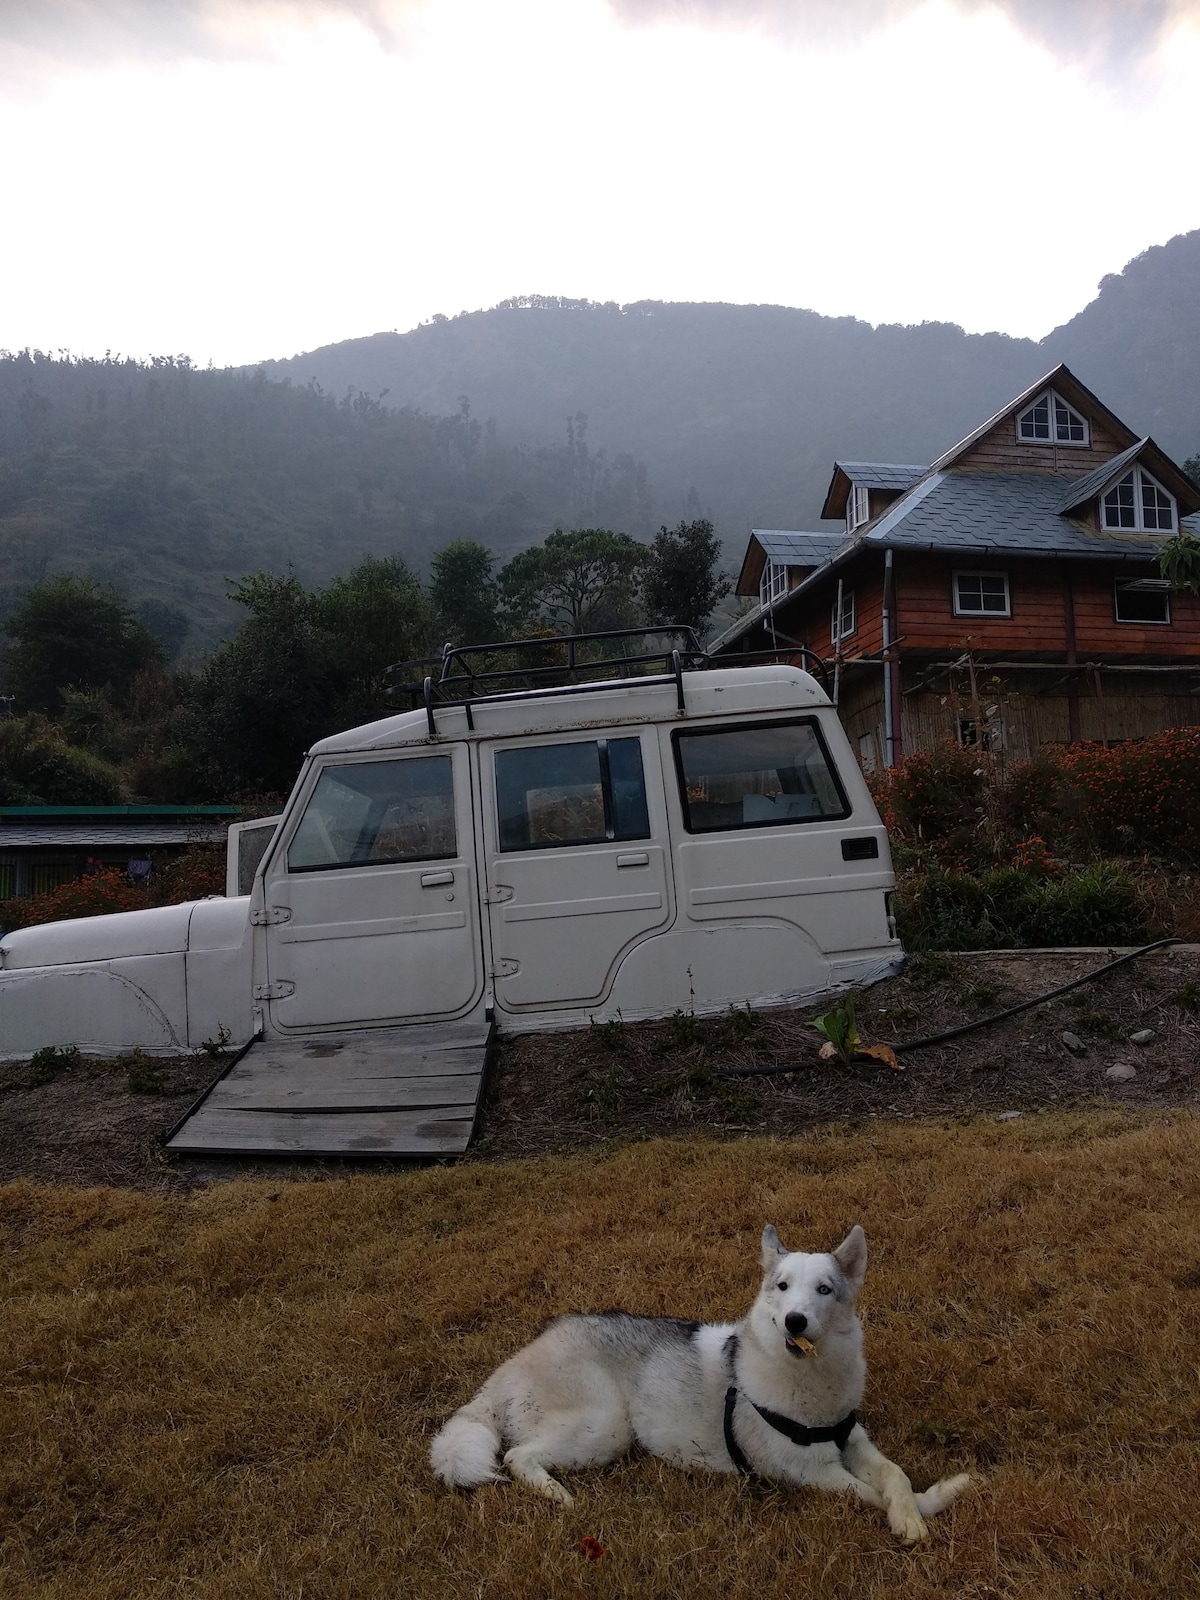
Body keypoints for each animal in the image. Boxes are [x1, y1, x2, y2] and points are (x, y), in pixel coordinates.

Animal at [428, 1216, 972, 1542]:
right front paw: (921, 1510)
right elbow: (871, 1493)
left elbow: (895, 1475)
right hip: (606, 1427)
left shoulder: (853, 1439)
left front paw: (915, 1509)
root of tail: (519, 1357)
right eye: (782, 1287)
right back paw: (557, 1495)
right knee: (517, 1457)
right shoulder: (805, 1473)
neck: (811, 1384)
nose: (795, 1321)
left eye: (824, 1289)